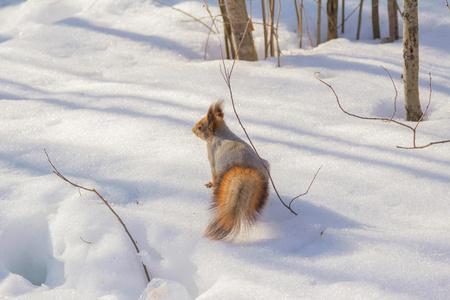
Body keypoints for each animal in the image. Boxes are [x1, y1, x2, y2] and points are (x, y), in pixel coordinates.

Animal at [192, 102, 268, 240]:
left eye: (200, 127)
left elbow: (213, 174)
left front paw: (210, 184)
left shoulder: (212, 156)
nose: (193, 129)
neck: (220, 132)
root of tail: (245, 167)